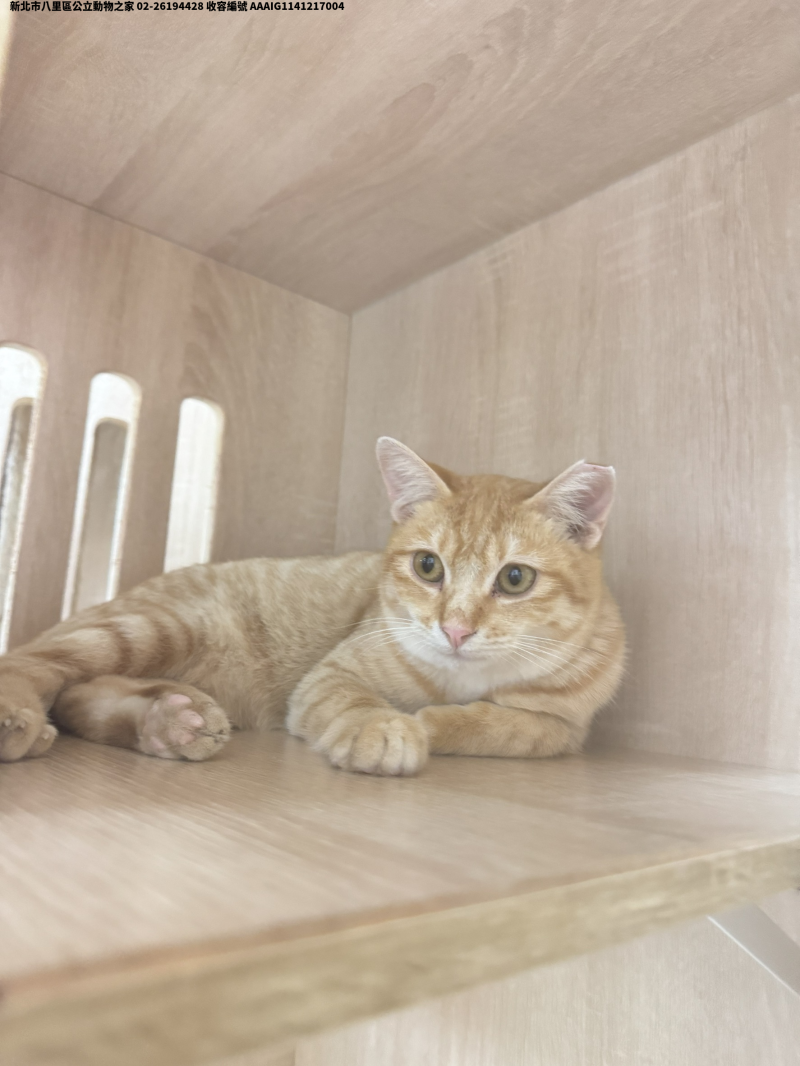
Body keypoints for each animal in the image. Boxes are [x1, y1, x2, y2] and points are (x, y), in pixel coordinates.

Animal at [0, 437, 625, 775]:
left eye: (515, 578)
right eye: (428, 567)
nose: (454, 629)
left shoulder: (565, 728)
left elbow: (509, 727)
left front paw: (435, 721)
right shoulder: (331, 674)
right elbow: (355, 701)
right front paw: (385, 728)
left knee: (80, 696)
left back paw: (169, 723)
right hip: (157, 627)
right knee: (35, 668)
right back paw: (21, 720)